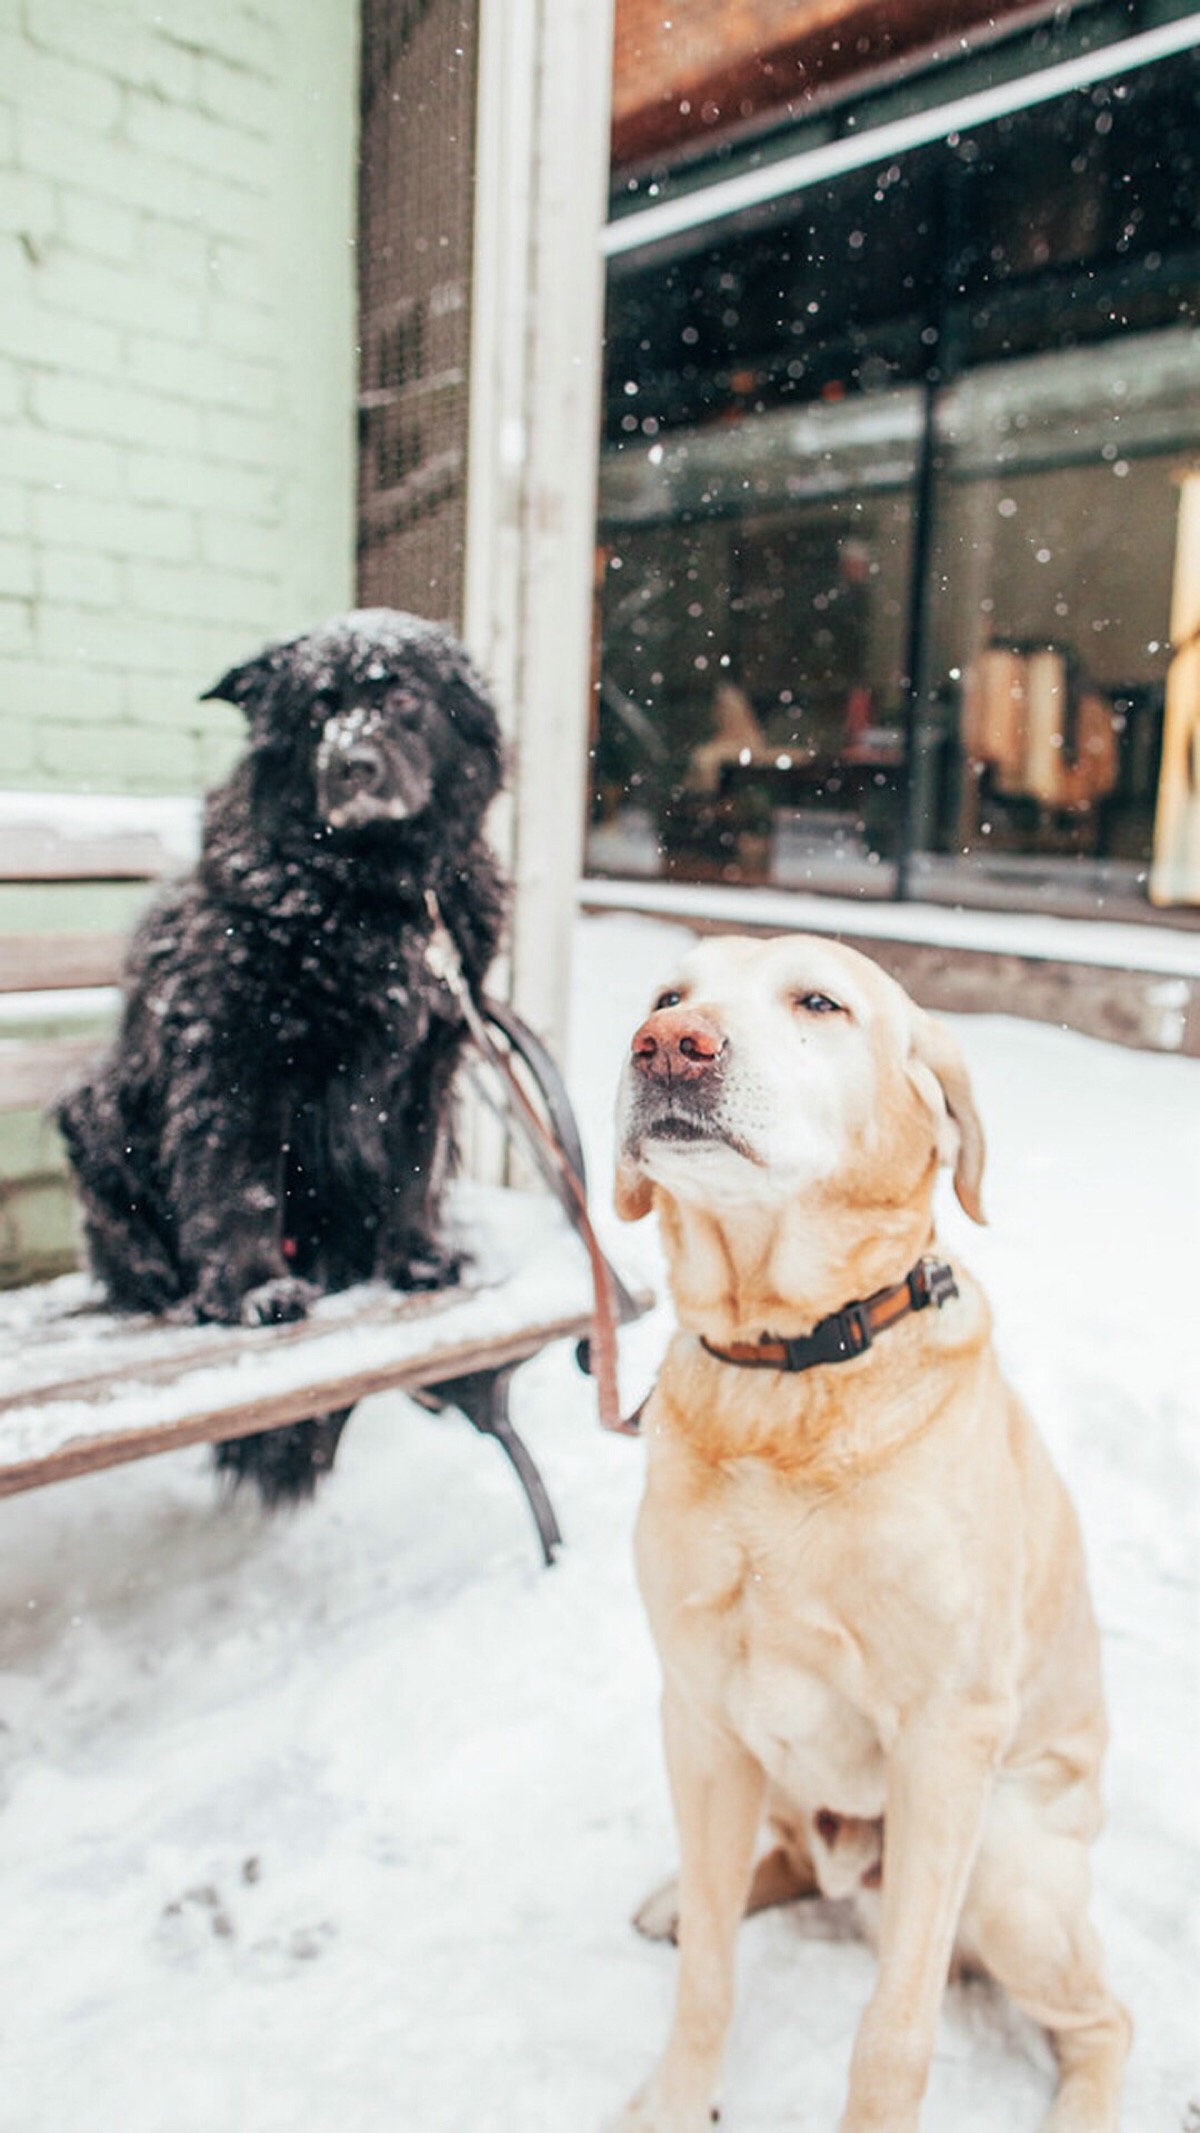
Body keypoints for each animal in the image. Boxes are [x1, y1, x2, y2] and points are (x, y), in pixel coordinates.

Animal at [57, 601, 507, 1501]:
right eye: (317, 712)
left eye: (402, 700)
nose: (352, 764)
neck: (372, 891)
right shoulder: (237, 1053)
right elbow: (240, 1181)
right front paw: (254, 1289)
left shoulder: (428, 1063)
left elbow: (413, 1170)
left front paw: (416, 1259)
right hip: (96, 1107)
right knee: (127, 1251)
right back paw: (173, 1288)